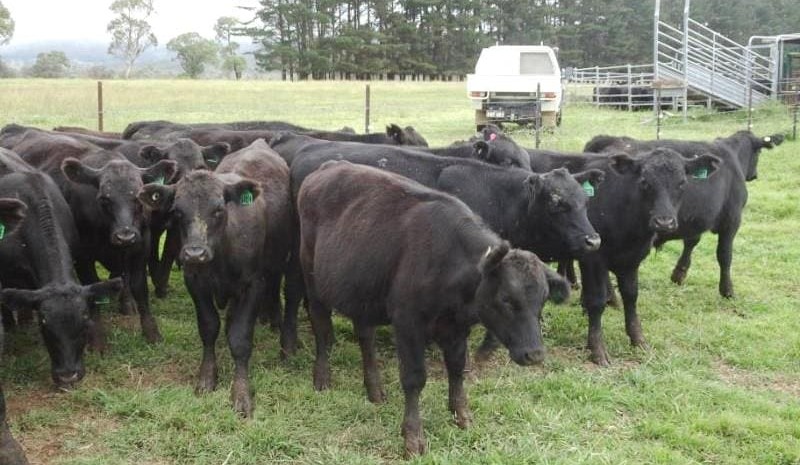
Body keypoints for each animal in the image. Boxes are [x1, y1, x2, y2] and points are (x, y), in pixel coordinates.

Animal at [1, 127, 176, 347]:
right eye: (104, 199)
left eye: (139, 197)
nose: (125, 236)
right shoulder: (83, 258)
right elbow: (93, 294)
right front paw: (98, 341)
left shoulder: (141, 249)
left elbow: (140, 290)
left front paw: (152, 334)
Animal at [137, 139, 298, 417]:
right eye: (177, 211)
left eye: (219, 209)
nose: (195, 253)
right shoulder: (195, 282)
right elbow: (209, 327)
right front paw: (207, 378)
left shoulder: (253, 285)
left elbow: (241, 337)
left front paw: (241, 393)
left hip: (277, 262)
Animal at [298, 160, 568, 456]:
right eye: (507, 298)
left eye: (543, 299)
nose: (535, 354)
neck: (448, 261)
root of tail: (330, 165)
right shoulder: (408, 324)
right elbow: (414, 378)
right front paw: (413, 437)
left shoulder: (456, 327)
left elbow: (457, 368)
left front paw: (461, 415)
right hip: (313, 283)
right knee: (322, 330)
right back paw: (322, 377)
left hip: (362, 293)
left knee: (365, 338)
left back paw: (374, 390)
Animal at [583, 130, 784, 298]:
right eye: (758, 153)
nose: (754, 175)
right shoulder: (732, 220)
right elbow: (725, 255)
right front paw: (727, 290)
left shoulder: (696, 218)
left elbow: (691, 242)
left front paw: (679, 274)